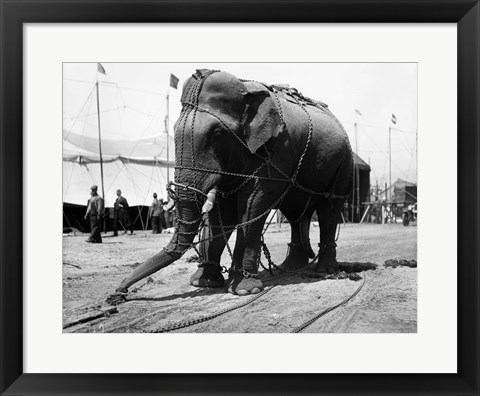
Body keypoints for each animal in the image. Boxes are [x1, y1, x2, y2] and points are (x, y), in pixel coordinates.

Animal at [108, 69, 352, 304]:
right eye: (175, 132)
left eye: (217, 134)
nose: (119, 293)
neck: (247, 92)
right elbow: (220, 215)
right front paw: (204, 283)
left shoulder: (277, 152)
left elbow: (252, 208)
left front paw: (244, 290)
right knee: (295, 214)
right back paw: (291, 267)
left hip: (343, 166)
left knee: (329, 211)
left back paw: (325, 271)